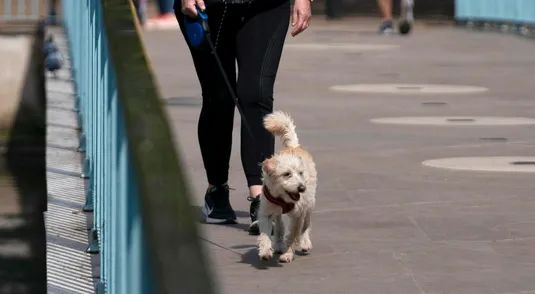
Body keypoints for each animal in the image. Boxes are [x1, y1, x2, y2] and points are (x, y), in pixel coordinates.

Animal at [256, 111, 316, 262]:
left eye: (301, 173)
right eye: (287, 174)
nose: (302, 188)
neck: (282, 197)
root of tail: (294, 147)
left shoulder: (298, 214)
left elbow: (294, 235)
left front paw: (288, 254)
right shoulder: (266, 212)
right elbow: (265, 234)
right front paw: (265, 251)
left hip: (309, 203)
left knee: (306, 224)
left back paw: (305, 242)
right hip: (277, 212)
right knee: (279, 226)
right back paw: (278, 244)